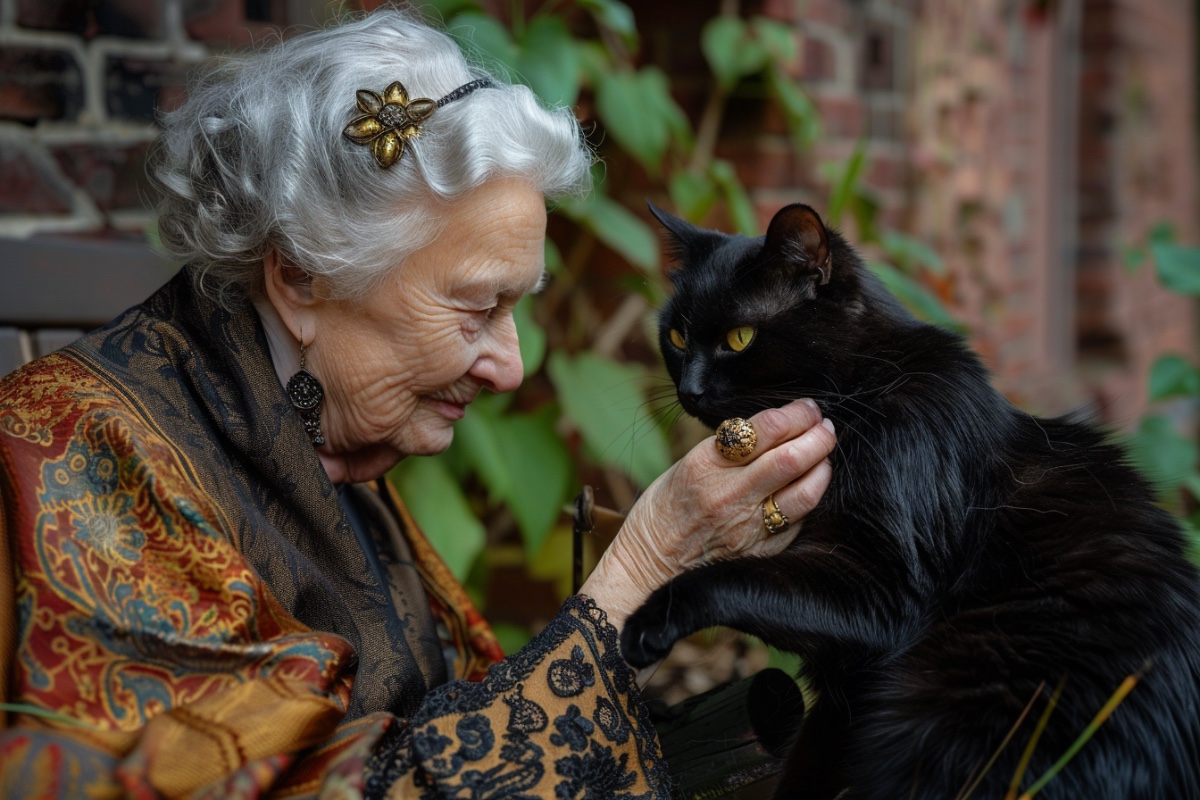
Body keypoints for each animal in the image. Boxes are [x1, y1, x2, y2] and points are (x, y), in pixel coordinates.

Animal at [624, 203, 1200, 800]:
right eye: (677, 335)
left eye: (739, 338)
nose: (689, 390)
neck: (865, 388)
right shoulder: (842, 694)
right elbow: (811, 760)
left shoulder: (885, 590)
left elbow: (732, 578)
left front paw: (650, 619)